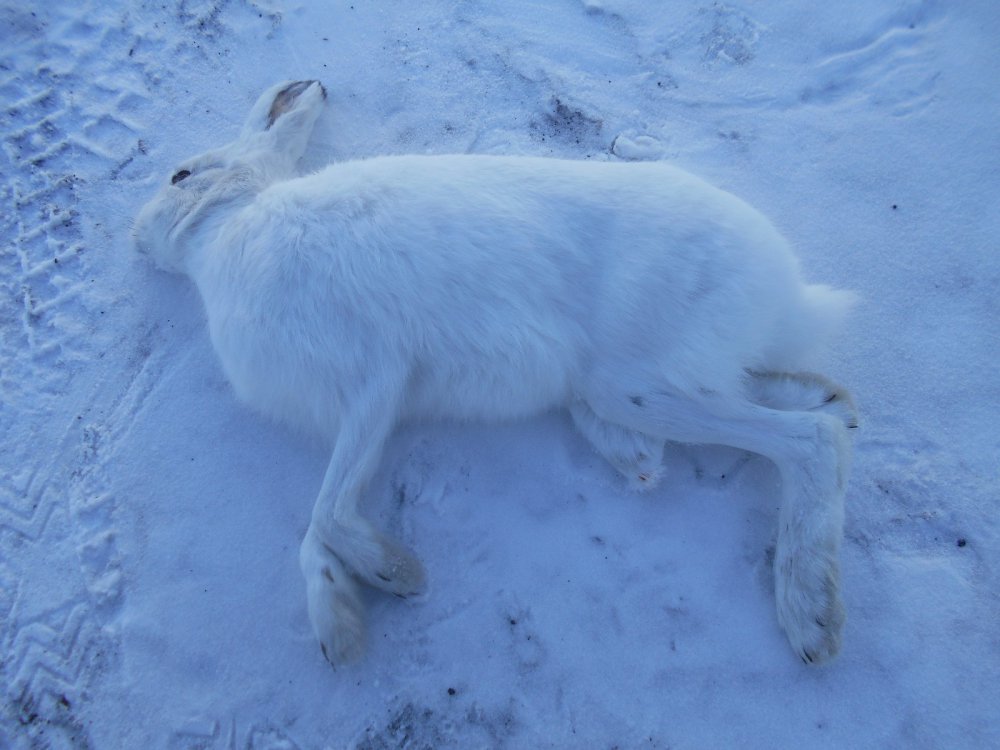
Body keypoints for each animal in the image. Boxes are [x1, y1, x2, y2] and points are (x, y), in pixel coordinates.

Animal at [133, 80, 858, 667]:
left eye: (180, 174)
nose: (133, 238)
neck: (228, 228)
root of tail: (781, 283)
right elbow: (318, 523)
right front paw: (351, 608)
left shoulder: (373, 380)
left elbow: (326, 513)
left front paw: (384, 586)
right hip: (642, 384)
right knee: (784, 399)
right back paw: (799, 411)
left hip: (637, 381)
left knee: (809, 444)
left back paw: (809, 614)